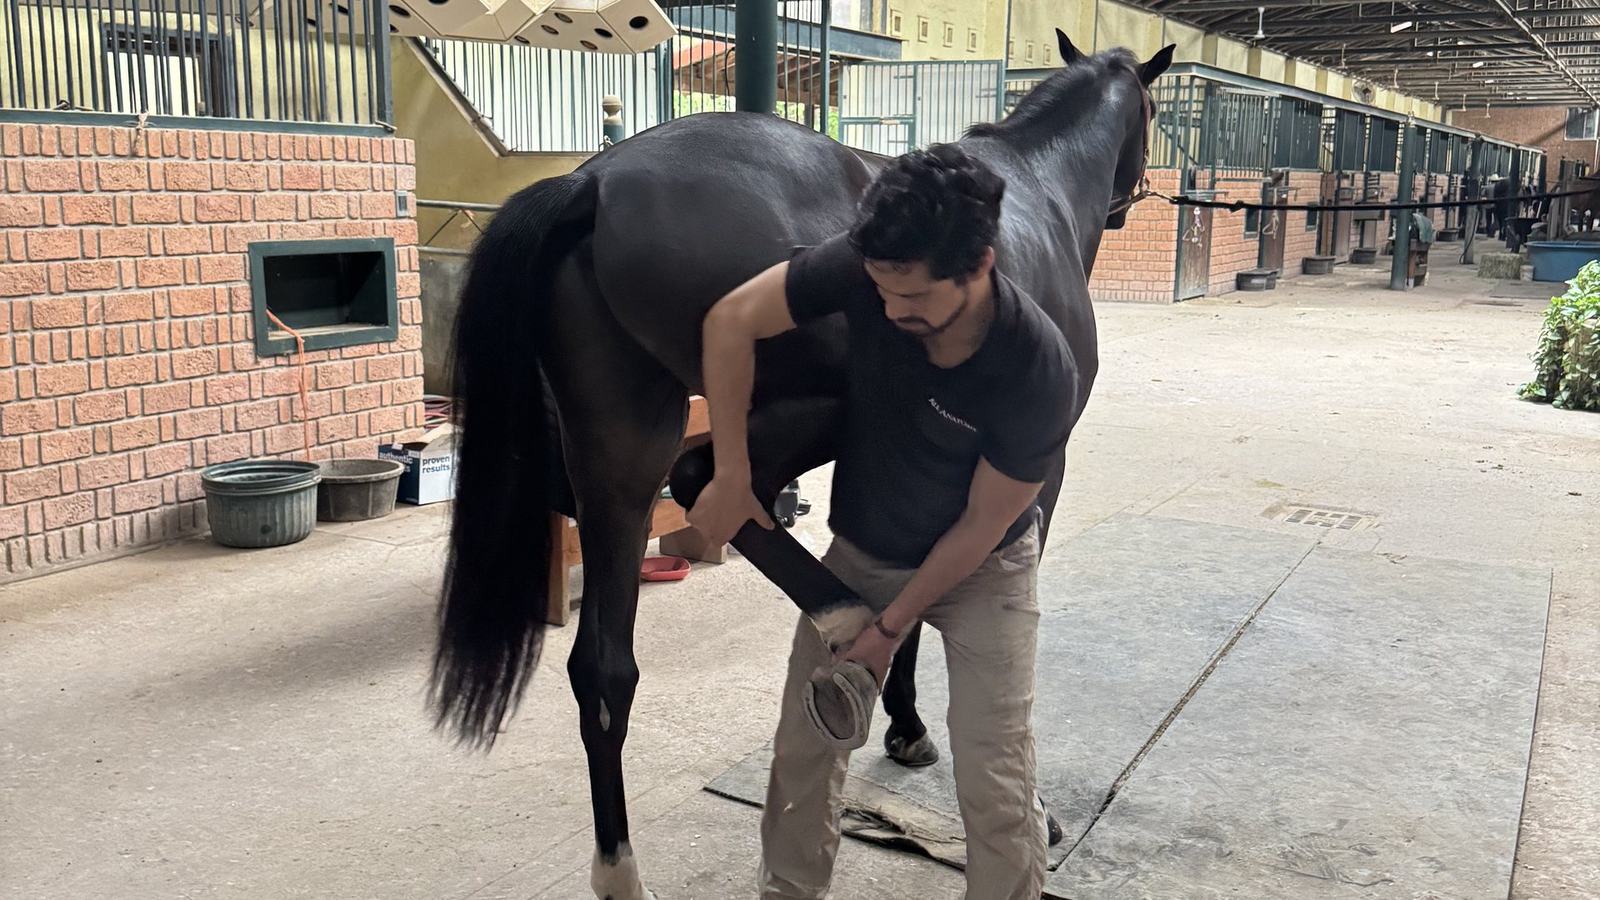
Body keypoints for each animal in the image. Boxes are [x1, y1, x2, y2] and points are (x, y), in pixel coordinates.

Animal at [431, 30, 1174, 900]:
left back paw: (621, 868)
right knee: (707, 483)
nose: (1132, 199)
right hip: (801, 409)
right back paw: (847, 620)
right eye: (1154, 114)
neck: (1038, 185)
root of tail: (594, 181)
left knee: (605, 669)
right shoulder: (1033, 473)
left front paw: (907, 726)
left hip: (617, 453)